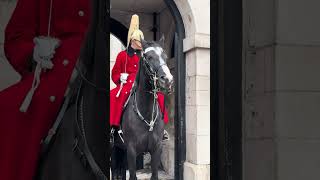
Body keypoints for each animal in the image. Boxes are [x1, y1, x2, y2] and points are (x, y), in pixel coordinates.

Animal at [120, 37, 174, 180]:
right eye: (149, 57)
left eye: (165, 56)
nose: (168, 80)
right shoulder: (131, 151)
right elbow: (132, 175)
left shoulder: (157, 149)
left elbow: (154, 174)